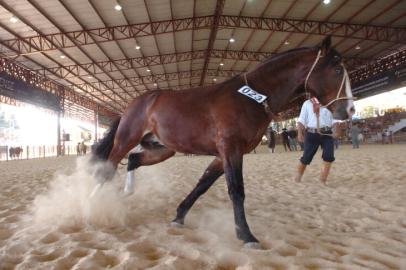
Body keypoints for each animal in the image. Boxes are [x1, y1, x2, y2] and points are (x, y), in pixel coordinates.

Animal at [93, 36, 354, 249]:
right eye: (337, 70)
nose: (349, 109)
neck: (252, 96)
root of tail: (136, 102)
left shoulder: (223, 155)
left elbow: (202, 185)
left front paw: (179, 217)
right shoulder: (231, 150)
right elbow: (236, 191)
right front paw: (246, 236)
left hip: (163, 149)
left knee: (133, 160)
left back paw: (126, 192)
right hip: (126, 139)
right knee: (108, 168)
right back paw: (92, 204)